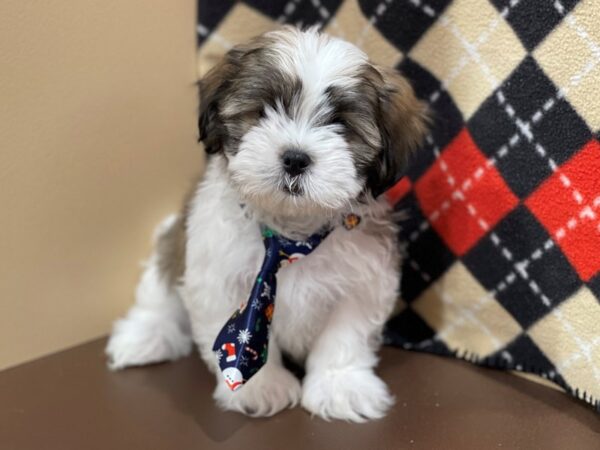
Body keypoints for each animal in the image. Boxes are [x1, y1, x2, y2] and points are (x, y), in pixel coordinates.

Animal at [106, 27, 426, 422]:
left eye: (340, 125)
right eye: (262, 112)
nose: (295, 158)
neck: (289, 234)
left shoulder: (363, 282)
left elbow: (344, 336)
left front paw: (340, 385)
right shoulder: (221, 278)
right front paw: (260, 388)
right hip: (172, 240)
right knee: (159, 291)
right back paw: (145, 335)